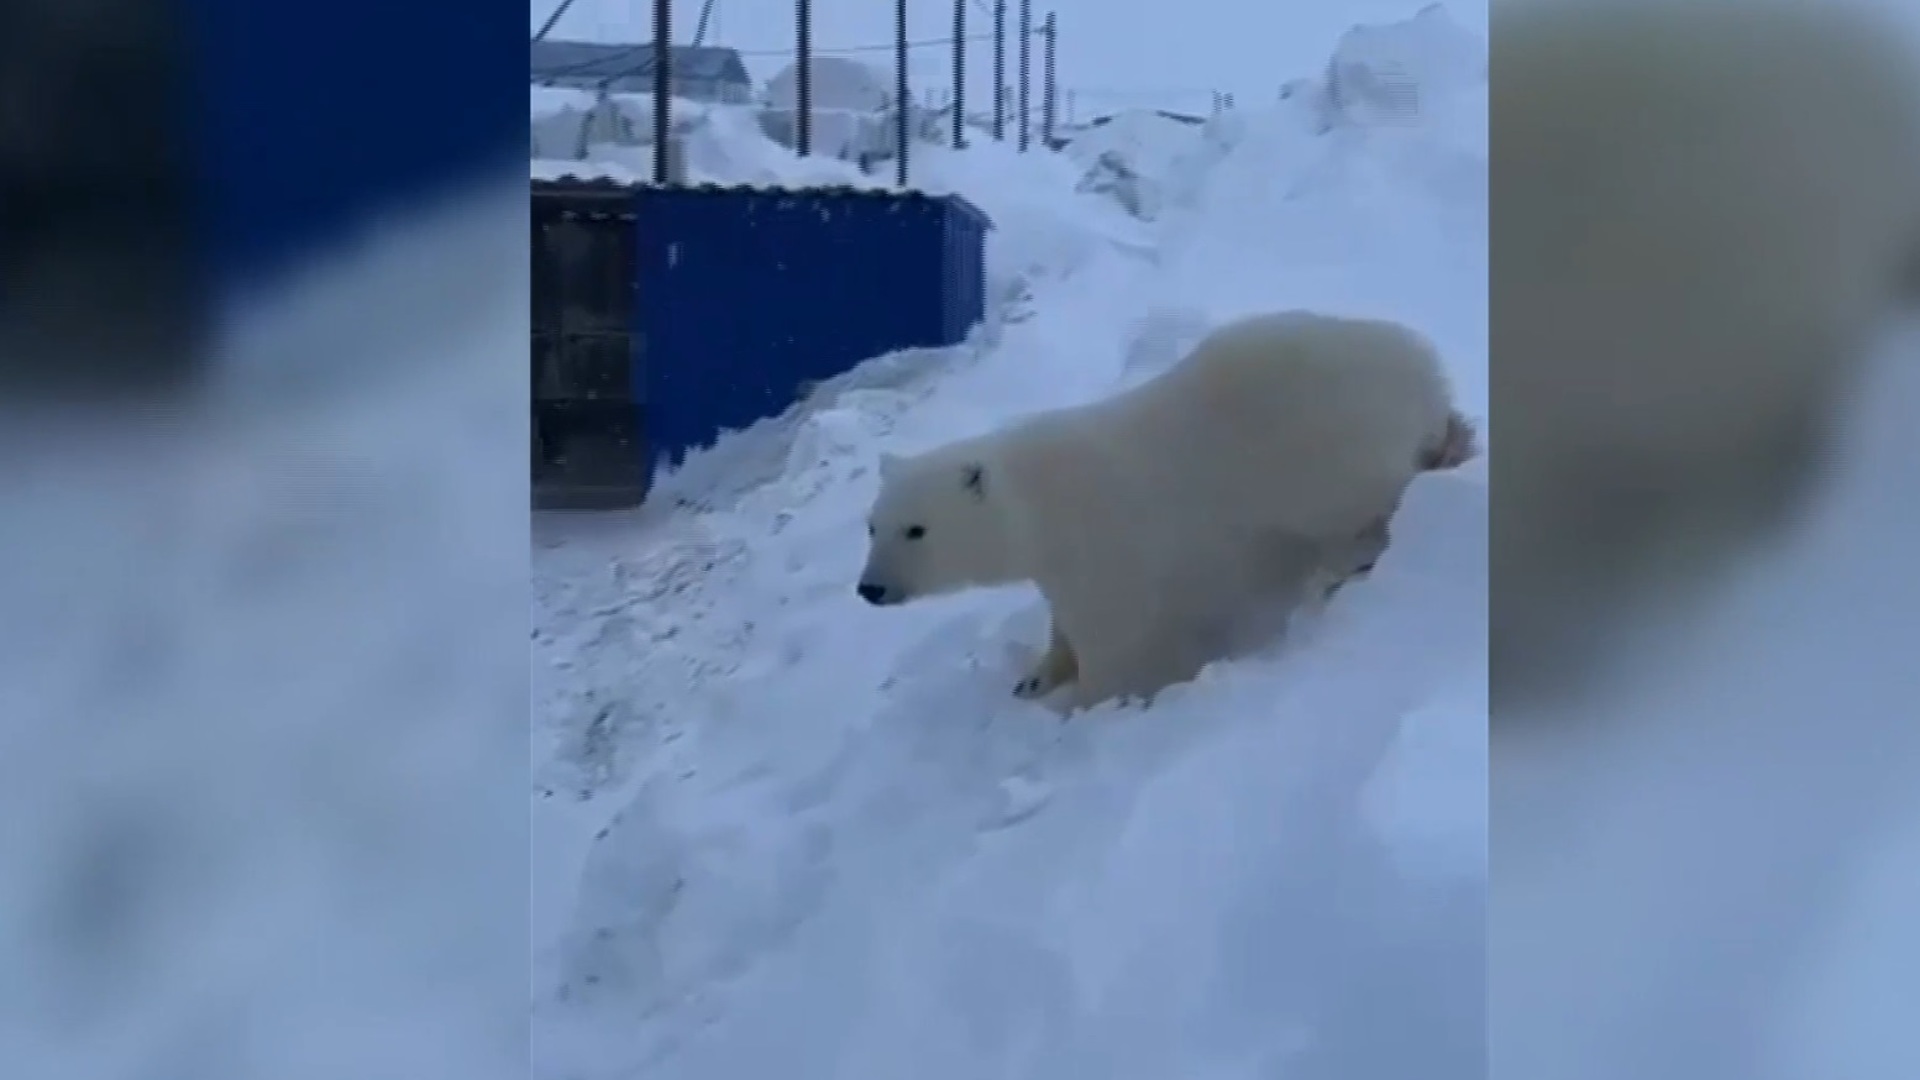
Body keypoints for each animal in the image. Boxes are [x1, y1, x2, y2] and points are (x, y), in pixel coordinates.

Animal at [852, 307, 1466, 707]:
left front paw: (1083, 706)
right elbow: (1062, 625)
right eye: (872, 526)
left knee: (1352, 522)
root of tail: (1429, 374)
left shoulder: (1105, 544)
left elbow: (1113, 639)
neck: (1041, 499)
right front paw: (1034, 679)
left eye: (916, 529)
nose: (870, 589)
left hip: (1331, 456)